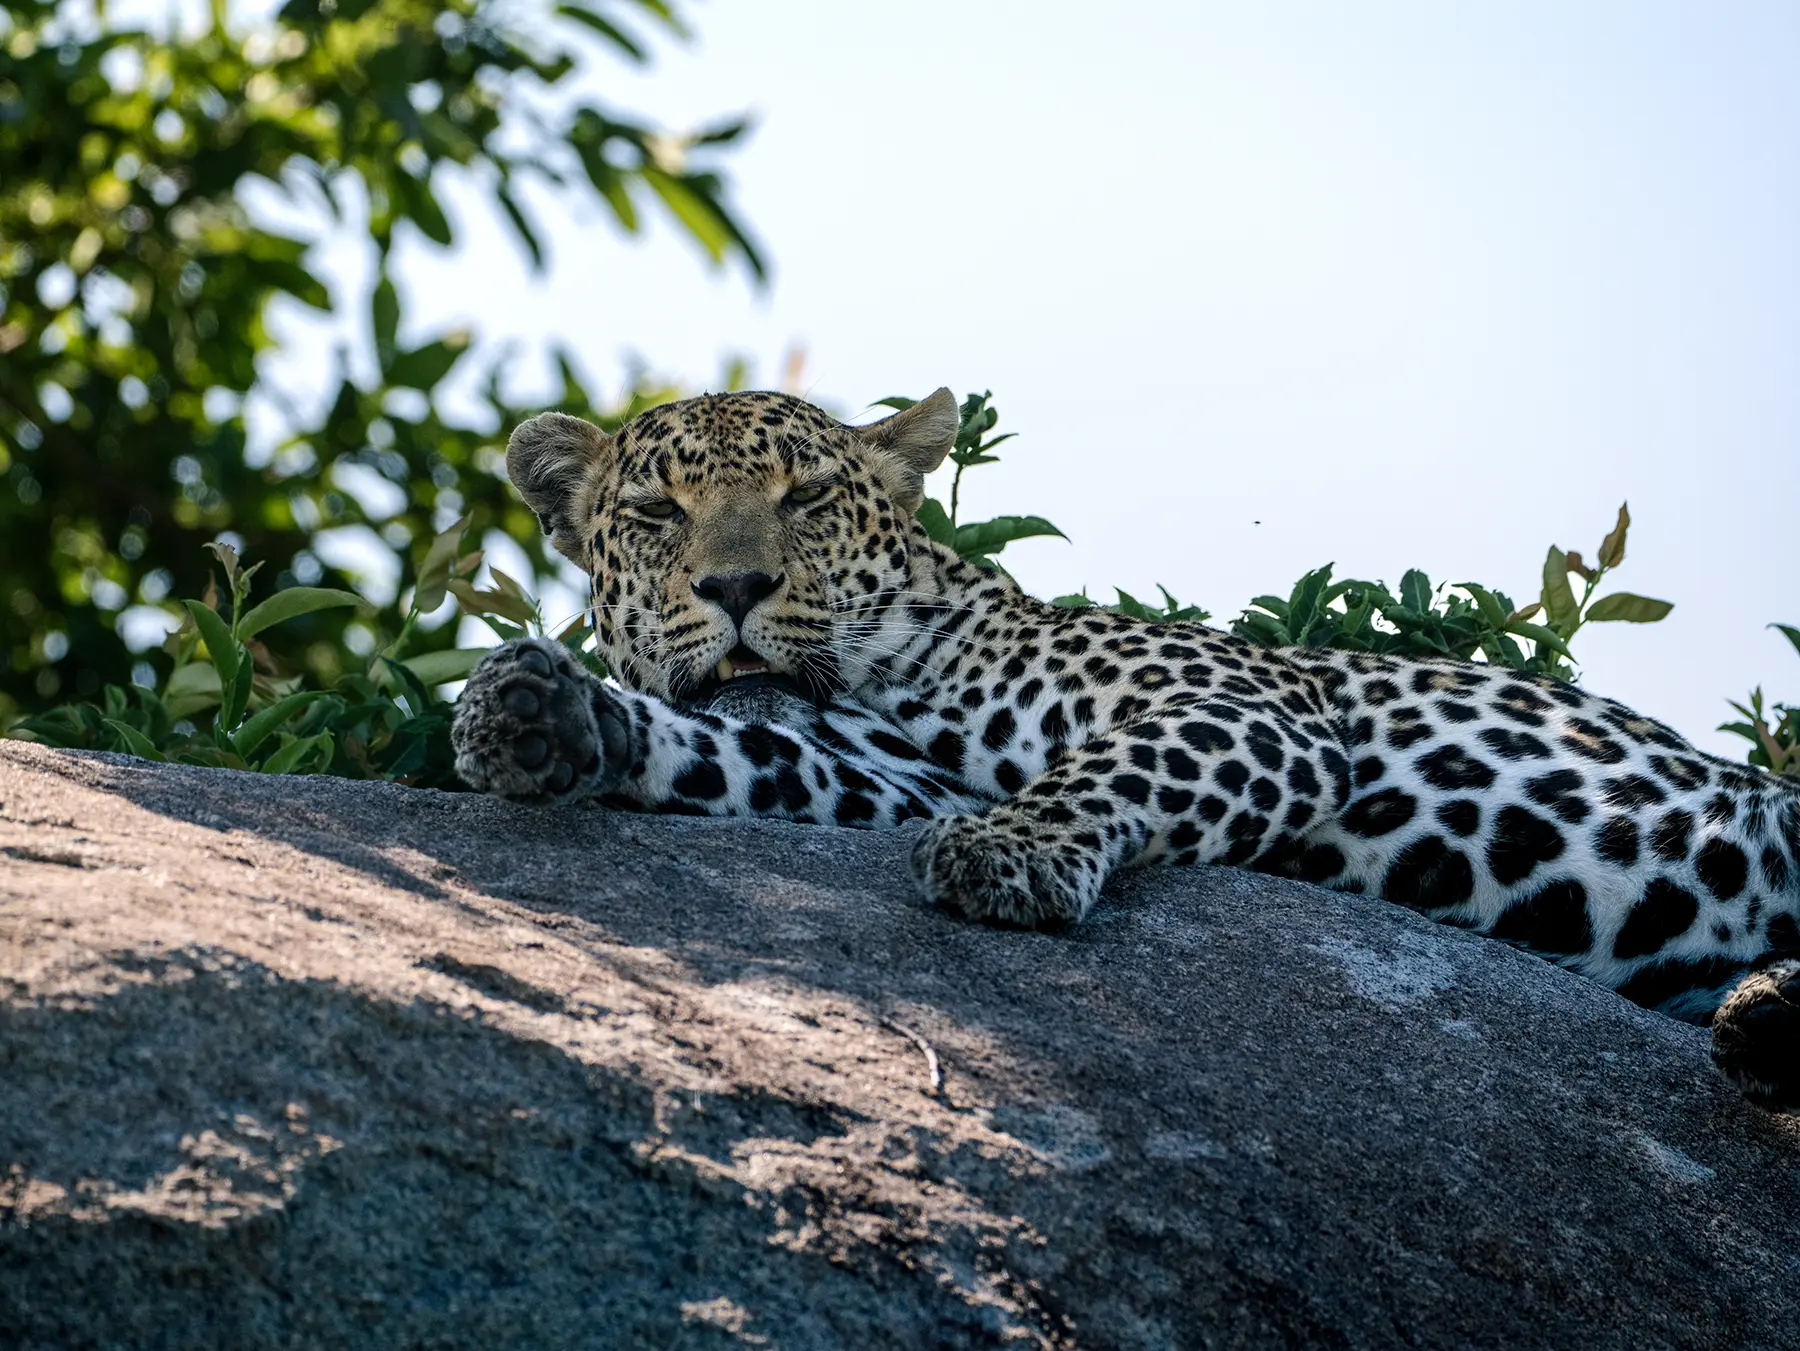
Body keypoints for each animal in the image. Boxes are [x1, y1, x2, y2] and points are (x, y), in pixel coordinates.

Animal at [450, 387, 1800, 1108]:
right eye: (653, 513)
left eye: (808, 497)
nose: (734, 588)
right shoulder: (875, 777)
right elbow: (734, 755)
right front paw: (538, 718)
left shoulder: (1249, 703)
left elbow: (1104, 769)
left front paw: (1012, 855)